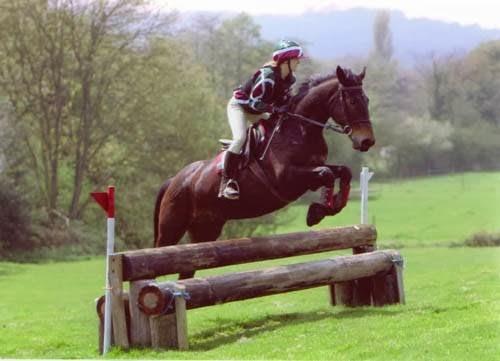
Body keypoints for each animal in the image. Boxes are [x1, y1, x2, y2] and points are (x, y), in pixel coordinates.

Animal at [152, 65, 376, 278]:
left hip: (205, 229)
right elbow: (326, 175)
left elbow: (343, 172)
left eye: (366, 99)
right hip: (172, 226)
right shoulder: (287, 179)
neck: (301, 129)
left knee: (187, 268)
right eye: (352, 101)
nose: (367, 141)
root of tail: (175, 180)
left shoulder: (314, 169)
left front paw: (329, 206)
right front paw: (316, 212)